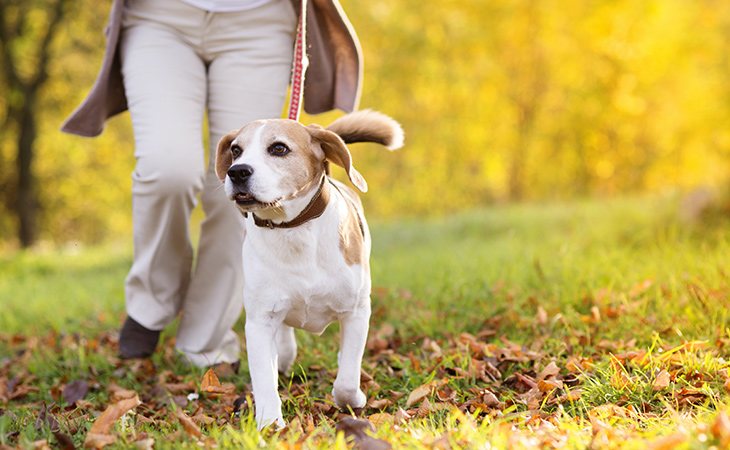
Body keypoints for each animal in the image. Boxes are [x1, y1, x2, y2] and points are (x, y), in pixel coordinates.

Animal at [213, 110, 404, 428]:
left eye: (279, 148)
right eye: (236, 150)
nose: (237, 172)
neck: (293, 230)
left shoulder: (356, 312)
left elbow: (347, 379)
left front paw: (353, 400)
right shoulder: (259, 322)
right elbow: (264, 378)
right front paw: (270, 424)